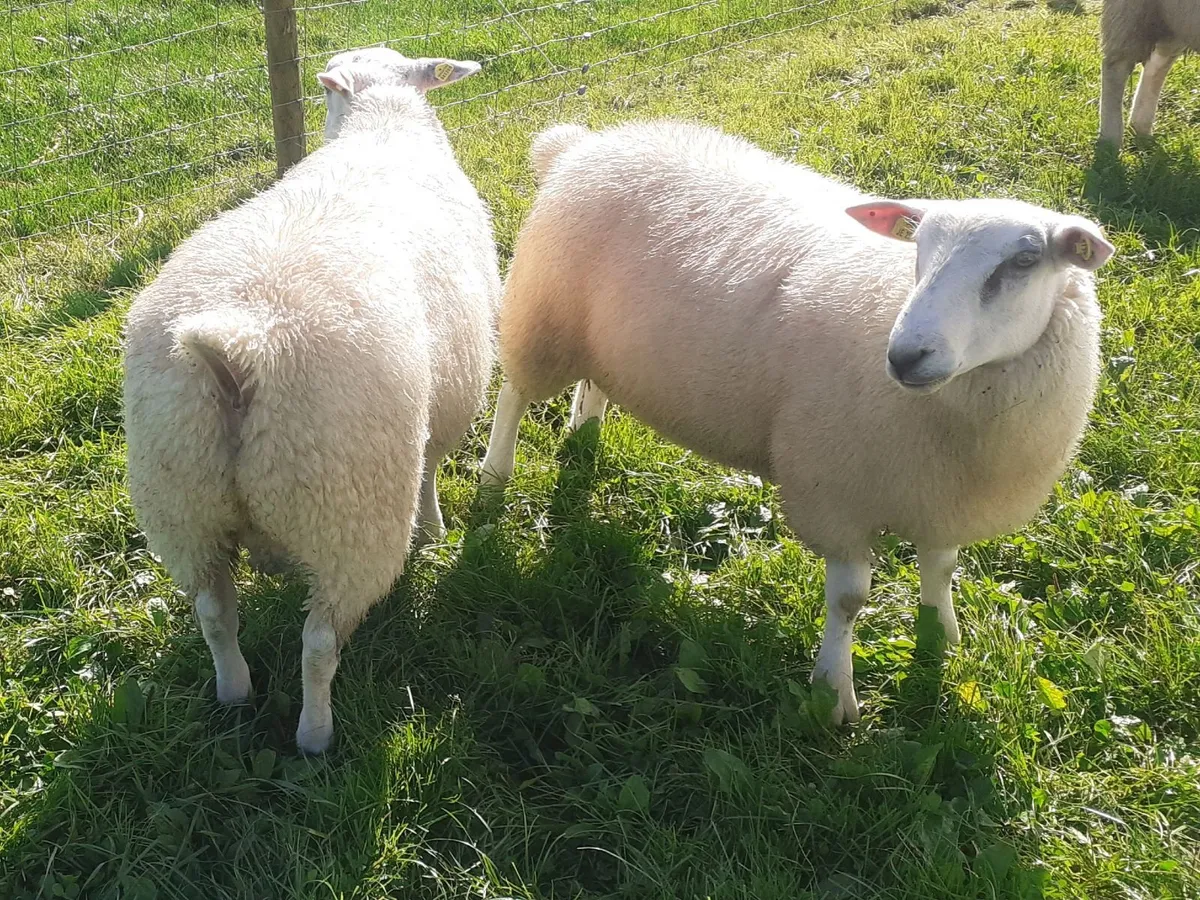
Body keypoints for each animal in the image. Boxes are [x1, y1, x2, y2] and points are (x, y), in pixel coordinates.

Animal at [123, 48, 498, 755]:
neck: (382, 124)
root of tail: (237, 347)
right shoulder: (447, 400)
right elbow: (432, 468)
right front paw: (434, 528)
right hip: (347, 511)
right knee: (319, 643)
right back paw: (315, 734)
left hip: (181, 498)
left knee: (213, 612)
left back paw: (234, 692)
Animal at [479, 120, 1114, 724]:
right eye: (917, 246)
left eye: (1025, 260)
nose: (904, 356)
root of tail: (583, 145)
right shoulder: (834, 492)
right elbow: (849, 602)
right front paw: (832, 694)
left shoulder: (941, 496)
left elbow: (942, 570)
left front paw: (942, 640)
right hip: (544, 316)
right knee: (513, 394)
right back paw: (492, 478)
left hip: (600, 337)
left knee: (594, 381)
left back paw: (584, 432)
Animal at [1099, 0, 1200, 147]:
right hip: (1133, 11)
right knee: (1116, 66)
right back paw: (1110, 141)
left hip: (1176, 18)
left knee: (1157, 65)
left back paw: (1140, 129)